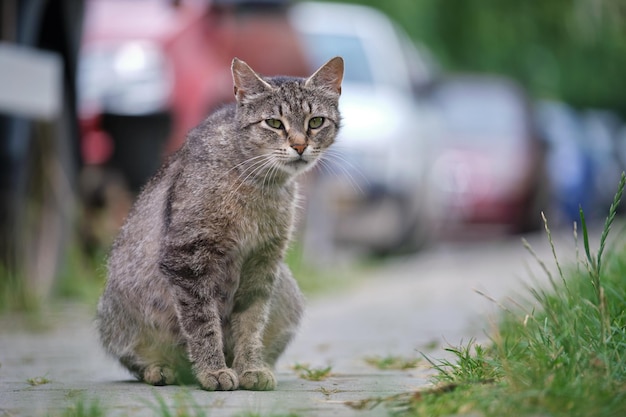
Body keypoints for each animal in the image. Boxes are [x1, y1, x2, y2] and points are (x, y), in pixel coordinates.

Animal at [95, 56, 344, 390]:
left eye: (315, 122)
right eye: (274, 123)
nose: (300, 146)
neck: (260, 184)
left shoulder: (263, 262)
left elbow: (251, 322)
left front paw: (250, 367)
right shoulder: (186, 258)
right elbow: (202, 323)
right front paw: (213, 370)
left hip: (287, 288)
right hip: (119, 306)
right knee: (133, 358)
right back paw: (160, 368)